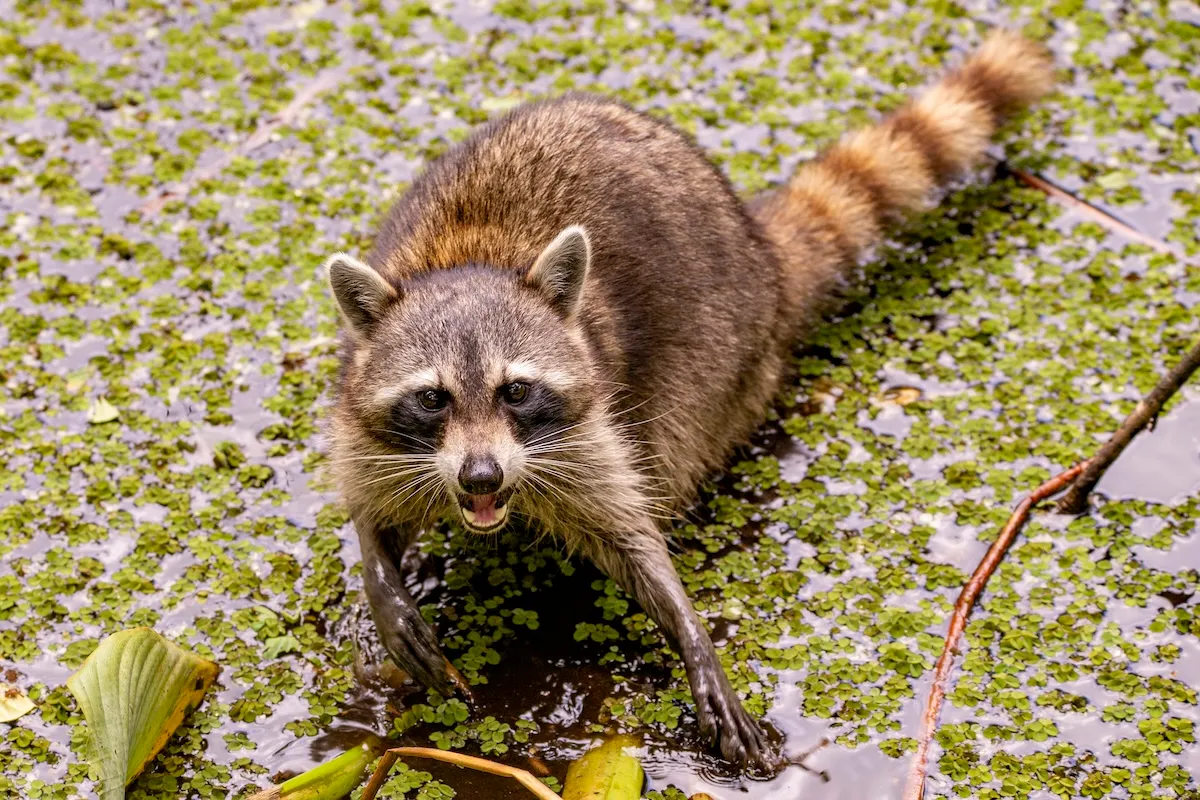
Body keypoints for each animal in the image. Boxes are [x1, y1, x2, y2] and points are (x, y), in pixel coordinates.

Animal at [323, 30, 1054, 769]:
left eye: (517, 390)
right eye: (432, 398)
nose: (480, 476)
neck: (469, 263)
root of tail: (759, 252)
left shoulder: (588, 430)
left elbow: (630, 535)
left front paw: (688, 628)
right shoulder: (363, 411)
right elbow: (369, 501)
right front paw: (380, 573)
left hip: (716, 368)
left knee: (672, 452)